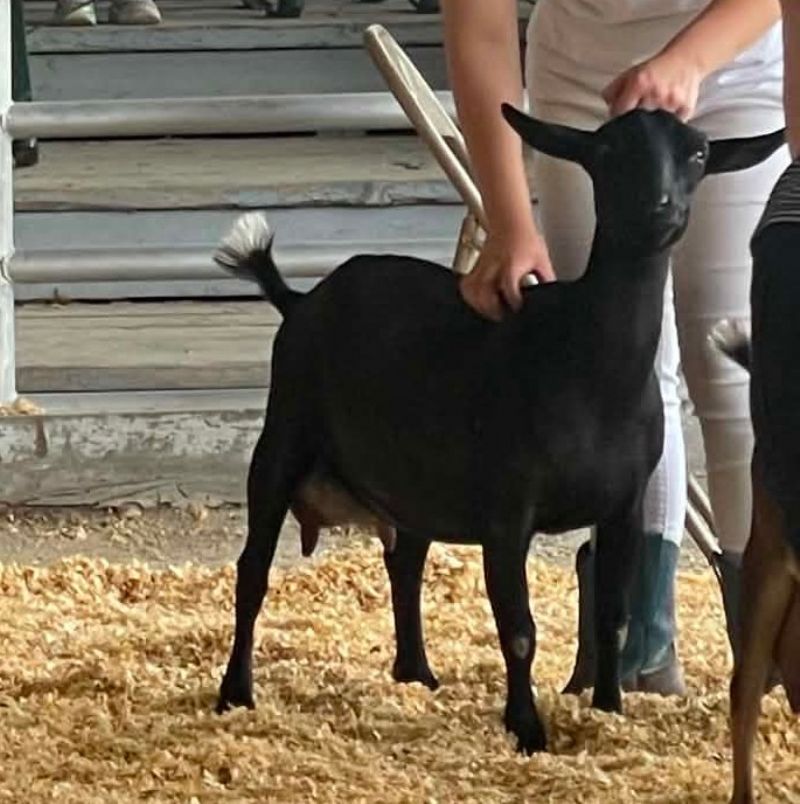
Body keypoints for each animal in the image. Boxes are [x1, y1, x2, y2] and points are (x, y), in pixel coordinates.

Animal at [213, 106, 783, 754]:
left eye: (698, 154)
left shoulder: (625, 504)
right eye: (608, 151)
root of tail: (301, 299)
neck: (588, 366)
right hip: (284, 433)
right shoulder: (507, 511)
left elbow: (612, 614)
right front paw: (528, 728)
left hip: (412, 481)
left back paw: (417, 674)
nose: (661, 209)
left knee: (404, 561)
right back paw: (236, 693)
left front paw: (608, 709)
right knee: (253, 570)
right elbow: (519, 629)